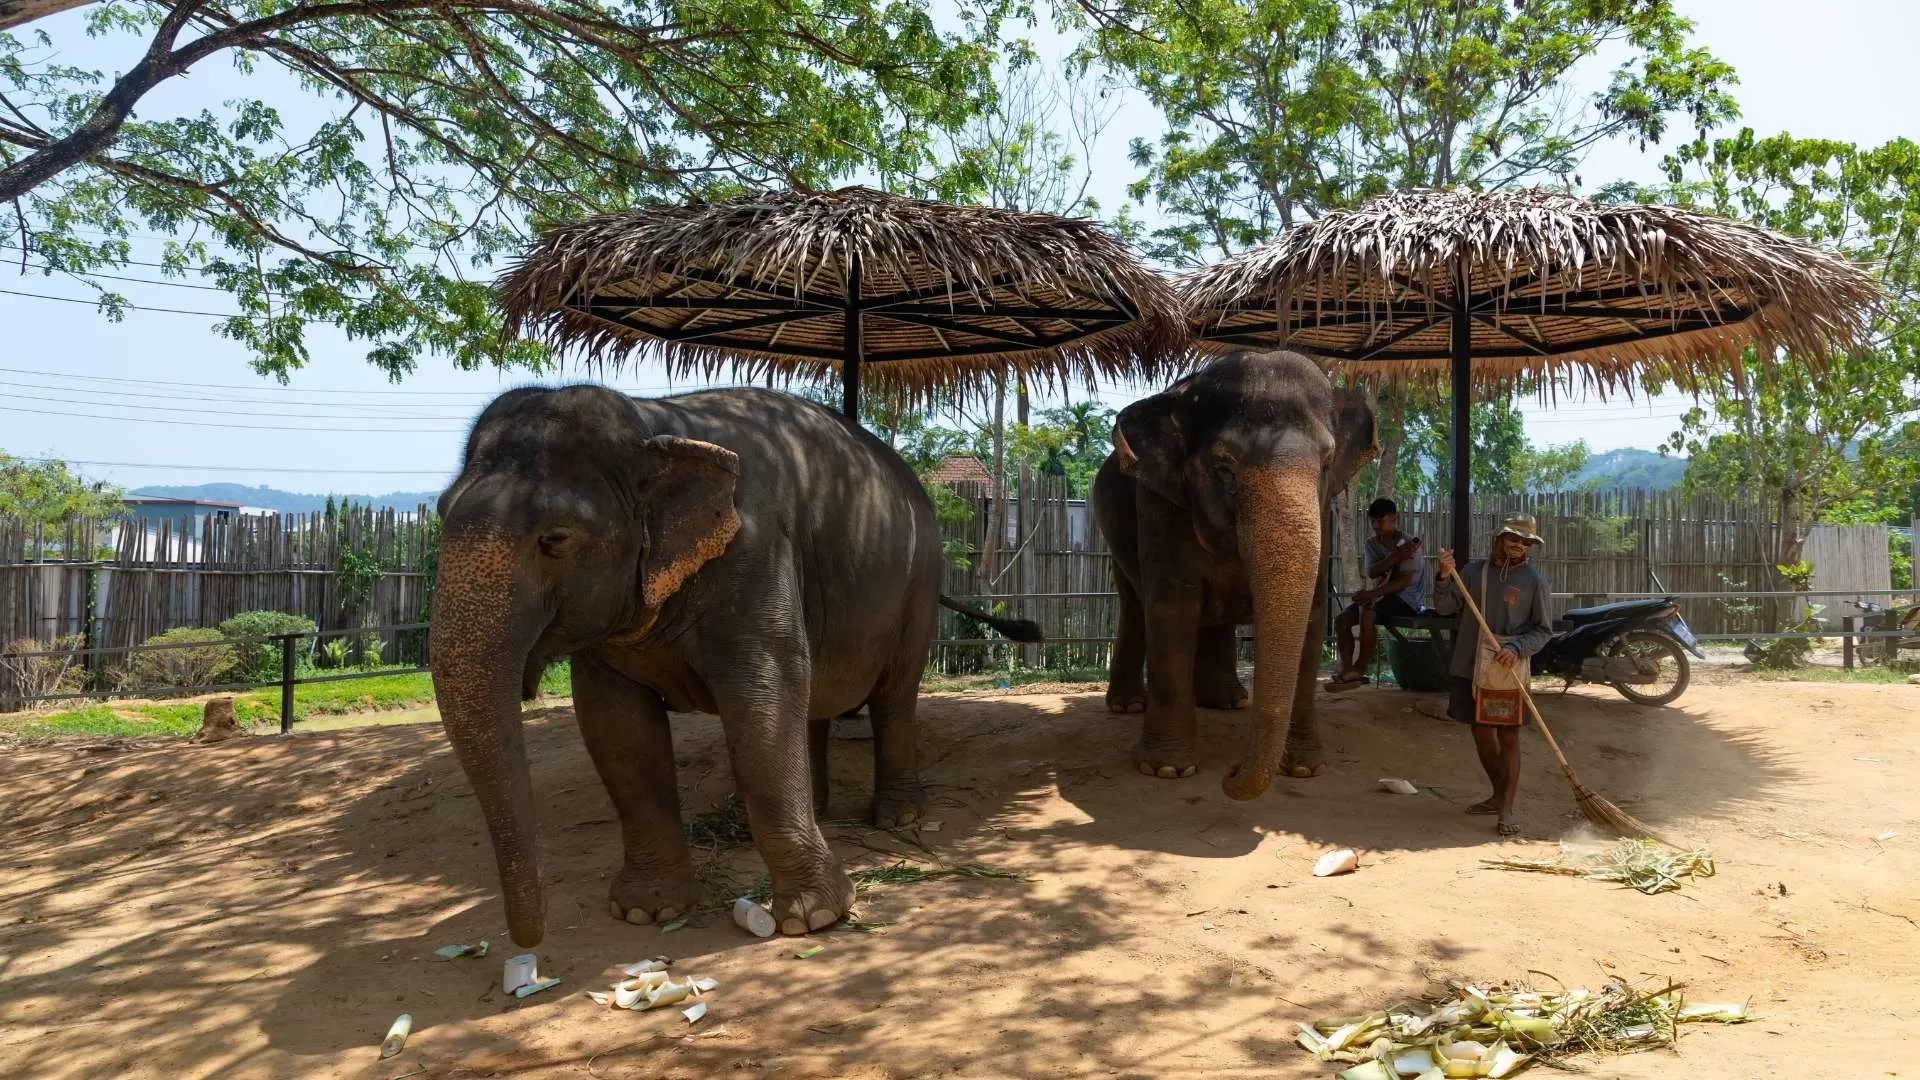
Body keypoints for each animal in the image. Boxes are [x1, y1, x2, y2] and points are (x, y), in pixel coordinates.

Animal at [429, 384, 1039, 947]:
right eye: (438, 513)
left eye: (554, 539)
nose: (529, 939)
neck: (654, 424)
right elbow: (617, 731)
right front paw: (646, 912)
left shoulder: (755, 550)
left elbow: (760, 699)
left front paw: (812, 918)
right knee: (813, 697)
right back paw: (815, 808)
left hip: (919, 582)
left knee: (893, 694)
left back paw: (896, 819)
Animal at [1091, 349, 1377, 801]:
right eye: (1223, 468)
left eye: (1327, 463)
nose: (1230, 772)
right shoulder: (1158, 505)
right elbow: (1172, 607)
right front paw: (1166, 769)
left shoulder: (1325, 513)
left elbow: (1313, 616)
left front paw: (1304, 769)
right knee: (1134, 605)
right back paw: (1128, 705)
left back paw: (1227, 701)